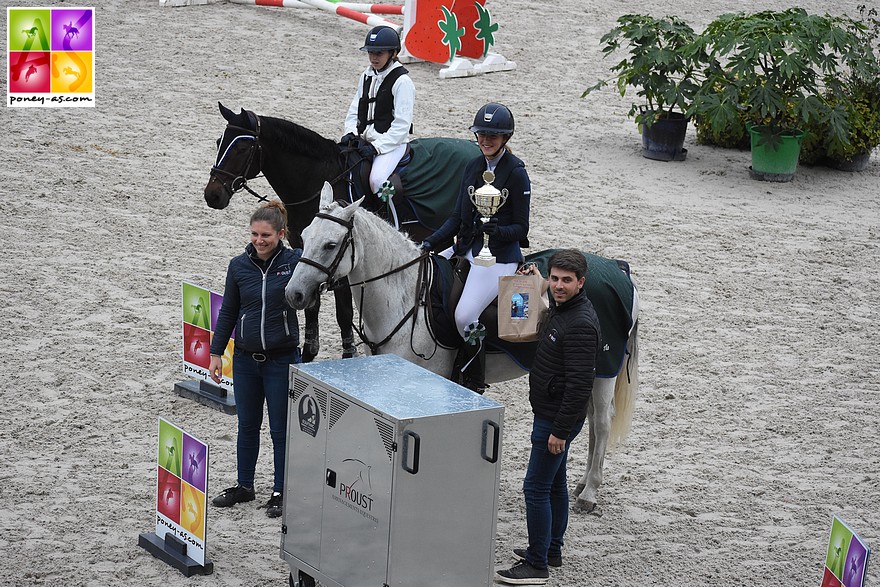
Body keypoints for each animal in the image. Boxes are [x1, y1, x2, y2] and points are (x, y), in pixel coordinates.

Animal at [205, 101, 482, 362]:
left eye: (242, 148)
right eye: (219, 142)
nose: (212, 195)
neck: (317, 181)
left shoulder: (341, 265)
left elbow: (343, 313)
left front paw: (348, 352)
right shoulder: (308, 258)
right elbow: (311, 306)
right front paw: (308, 352)